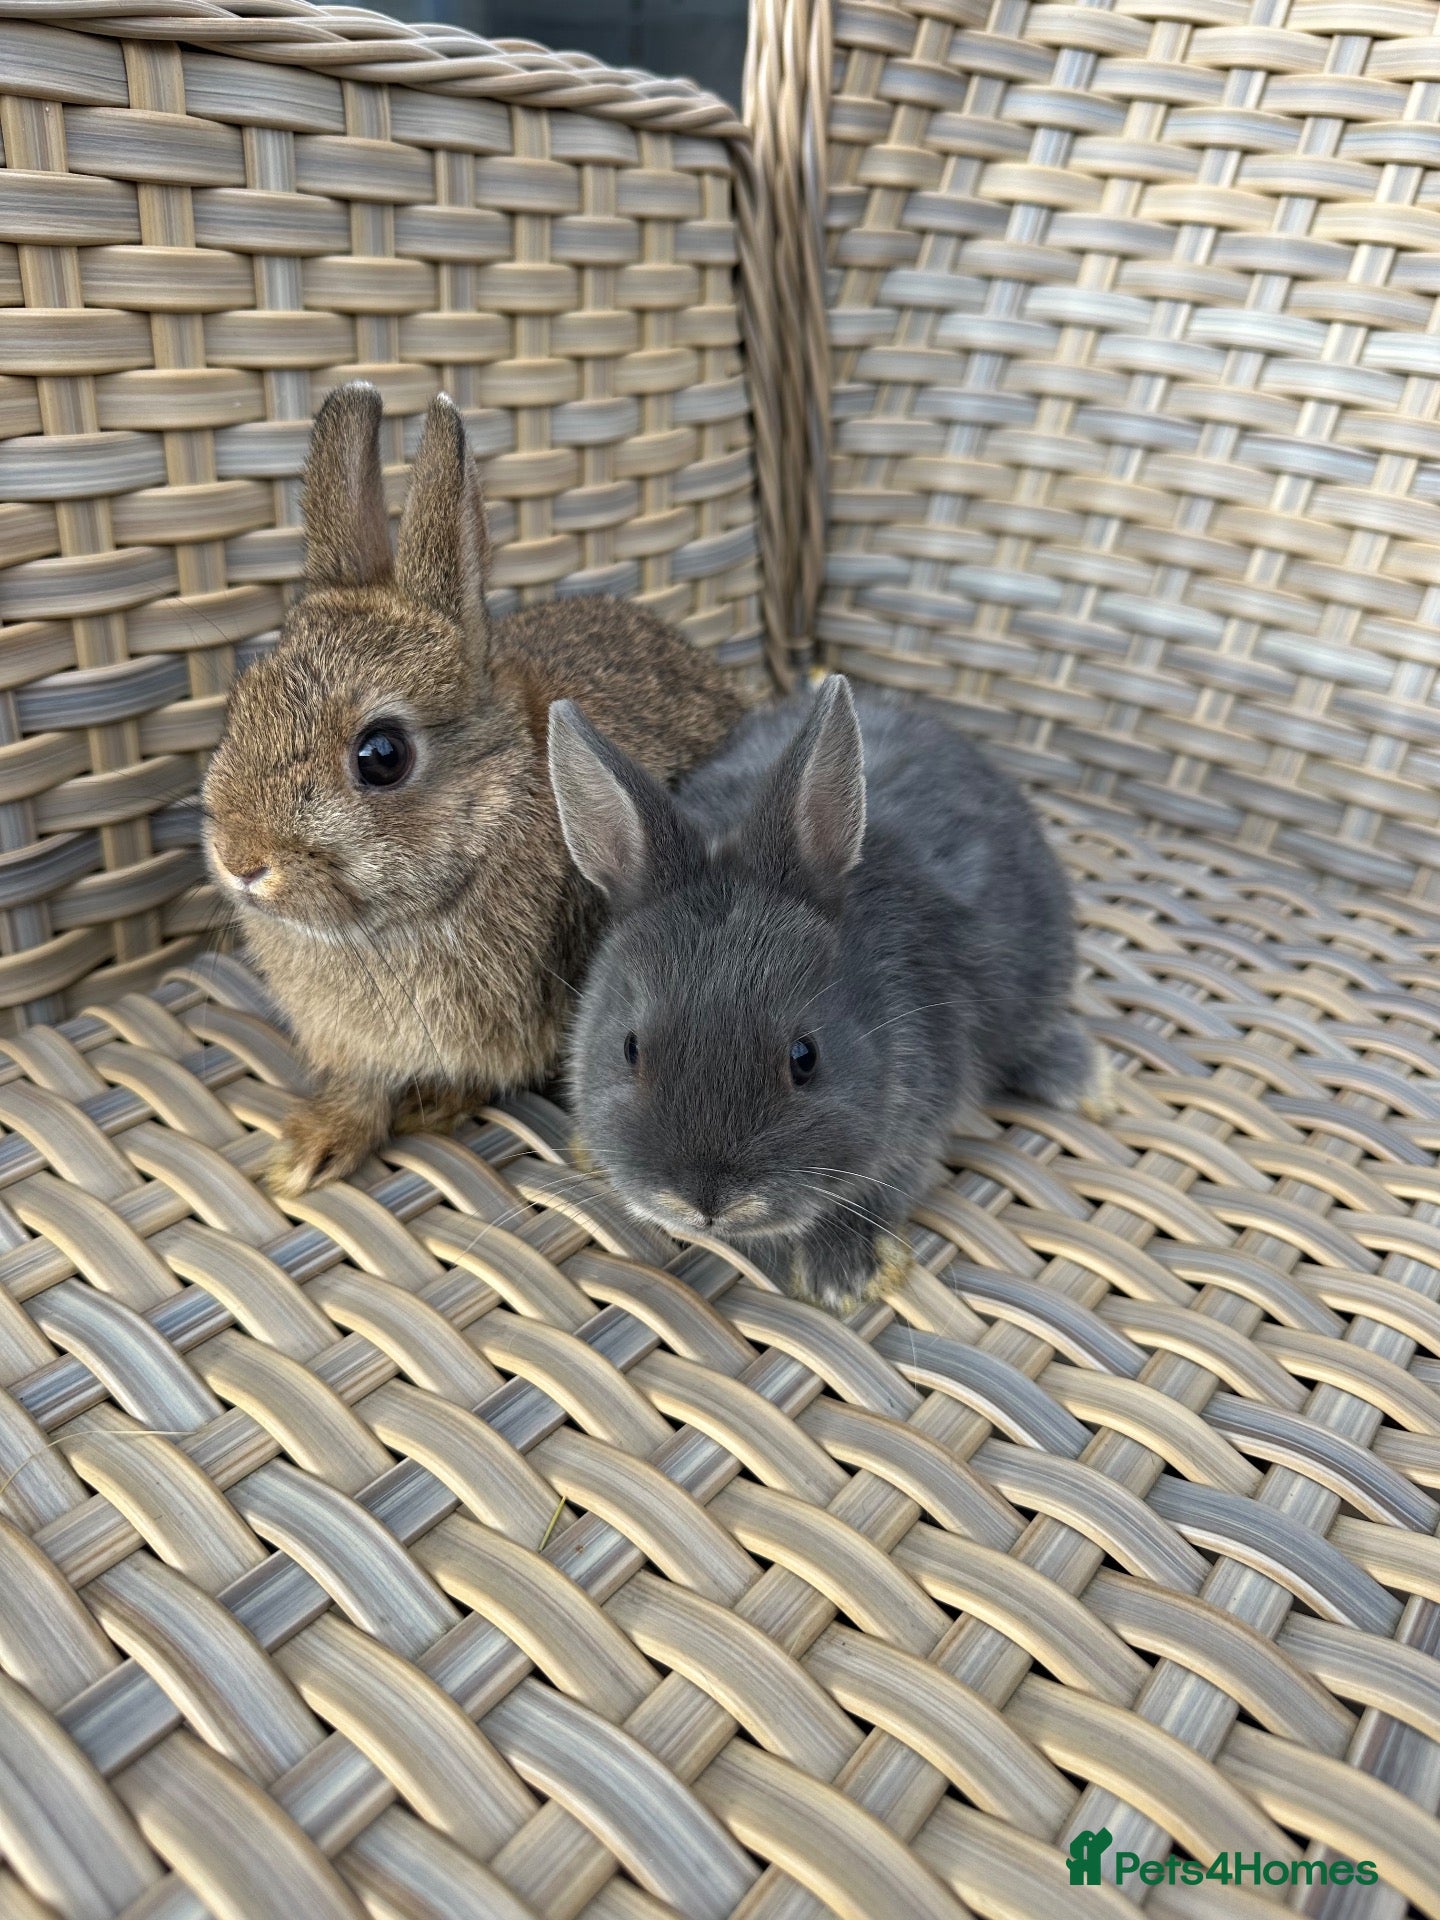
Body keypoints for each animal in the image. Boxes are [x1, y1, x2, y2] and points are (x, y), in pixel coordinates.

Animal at [547, 673, 1108, 1311]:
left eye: (805, 1056)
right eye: (630, 1048)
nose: (706, 1204)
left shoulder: (919, 1114)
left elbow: (885, 1185)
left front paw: (844, 1275)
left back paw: (1084, 1081)